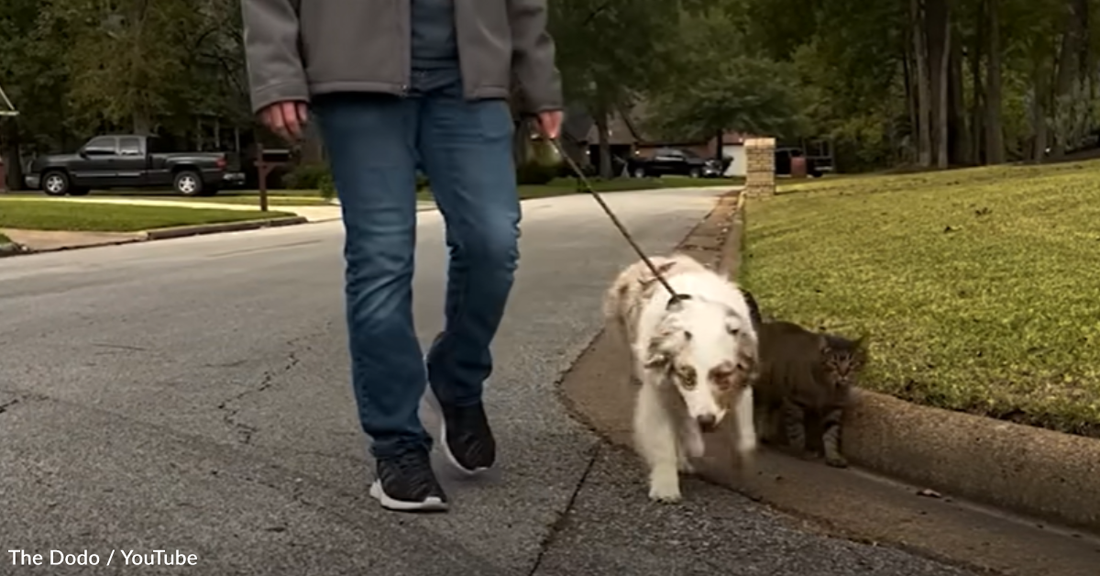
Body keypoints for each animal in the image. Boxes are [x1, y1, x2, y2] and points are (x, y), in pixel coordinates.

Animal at [602, 253, 765, 501]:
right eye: (688, 378)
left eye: (723, 376)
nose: (706, 422)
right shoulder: (659, 388)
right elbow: (664, 438)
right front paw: (666, 487)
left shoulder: (741, 387)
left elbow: (746, 440)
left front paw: (743, 469)